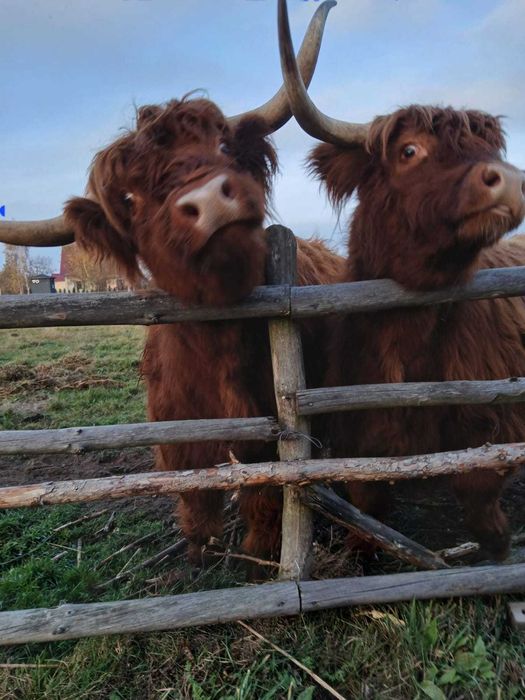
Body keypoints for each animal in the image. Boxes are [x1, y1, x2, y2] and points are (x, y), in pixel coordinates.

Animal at [1, 1, 344, 569]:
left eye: (223, 143)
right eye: (130, 198)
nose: (208, 200)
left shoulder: (271, 433)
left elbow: (266, 488)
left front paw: (260, 547)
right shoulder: (175, 427)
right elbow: (192, 488)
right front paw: (200, 547)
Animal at [278, 0, 525, 560]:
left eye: (490, 146)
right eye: (409, 151)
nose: (511, 182)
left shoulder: (493, 429)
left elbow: (481, 505)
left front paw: (497, 551)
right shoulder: (362, 438)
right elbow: (369, 507)